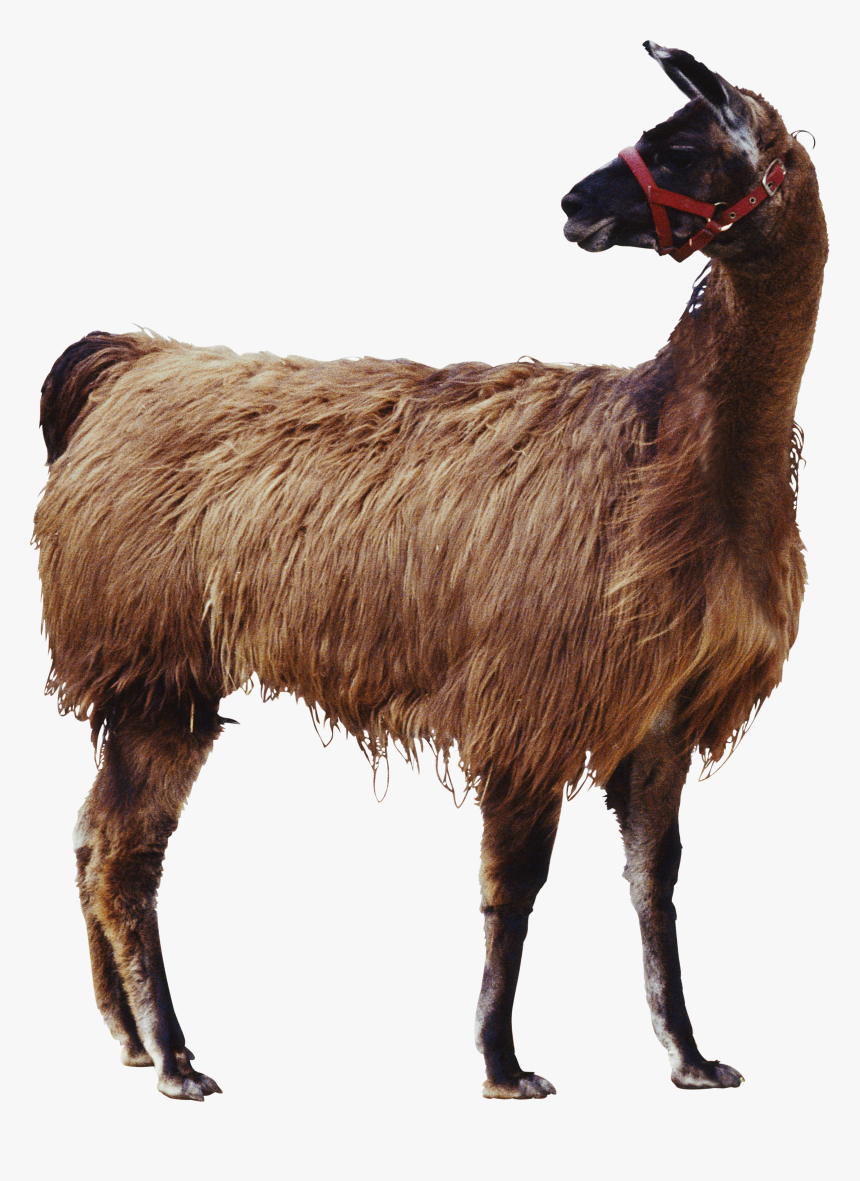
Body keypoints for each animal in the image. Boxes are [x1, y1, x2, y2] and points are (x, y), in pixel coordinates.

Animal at [34, 42, 826, 1101]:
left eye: (681, 147)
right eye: (659, 133)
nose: (574, 201)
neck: (668, 448)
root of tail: (130, 364)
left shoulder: (658, 708)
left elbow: (654, 882)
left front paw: (692, 1057)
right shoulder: (533, 694)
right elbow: (513, 885)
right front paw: (504, 1064)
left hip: (157, 673)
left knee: (90, 837)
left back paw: (128, 1037)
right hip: (153, 656)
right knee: (125, 854)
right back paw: (173, 1056)